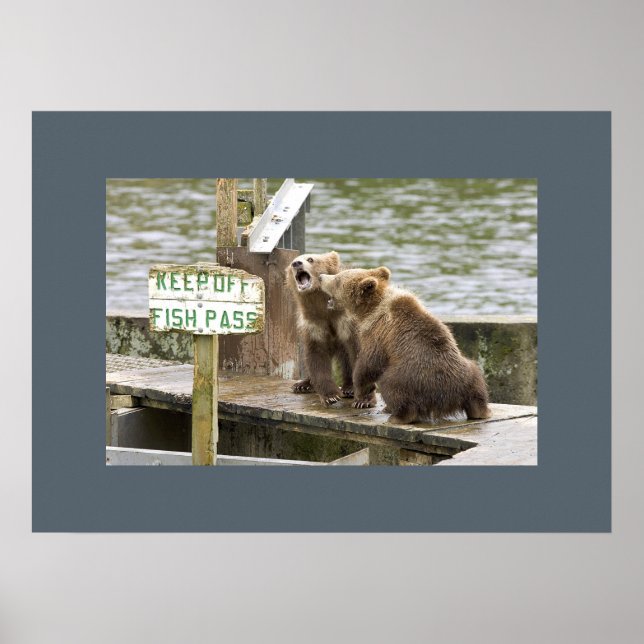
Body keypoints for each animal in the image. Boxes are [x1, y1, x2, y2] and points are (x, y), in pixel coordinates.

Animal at [285, 251, 359, 405]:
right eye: (293, 261)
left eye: (310, 259)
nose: (296, 264)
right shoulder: (313, 325)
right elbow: (316, 357)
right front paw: (330, 395)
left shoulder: (346, 321)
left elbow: (352, 353)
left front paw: (350, 388)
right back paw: (302, 384)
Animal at [318, 267, 492, 424]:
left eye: (338, 279)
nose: (321, 277)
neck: (370, 310)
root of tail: (447, 397)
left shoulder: (378, 333)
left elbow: (368, 364)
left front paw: (360, 397)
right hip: (468, 374)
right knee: (477, 388)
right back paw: (481, 412)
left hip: (409, 377)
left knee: (393, 389)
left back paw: (395, 416)